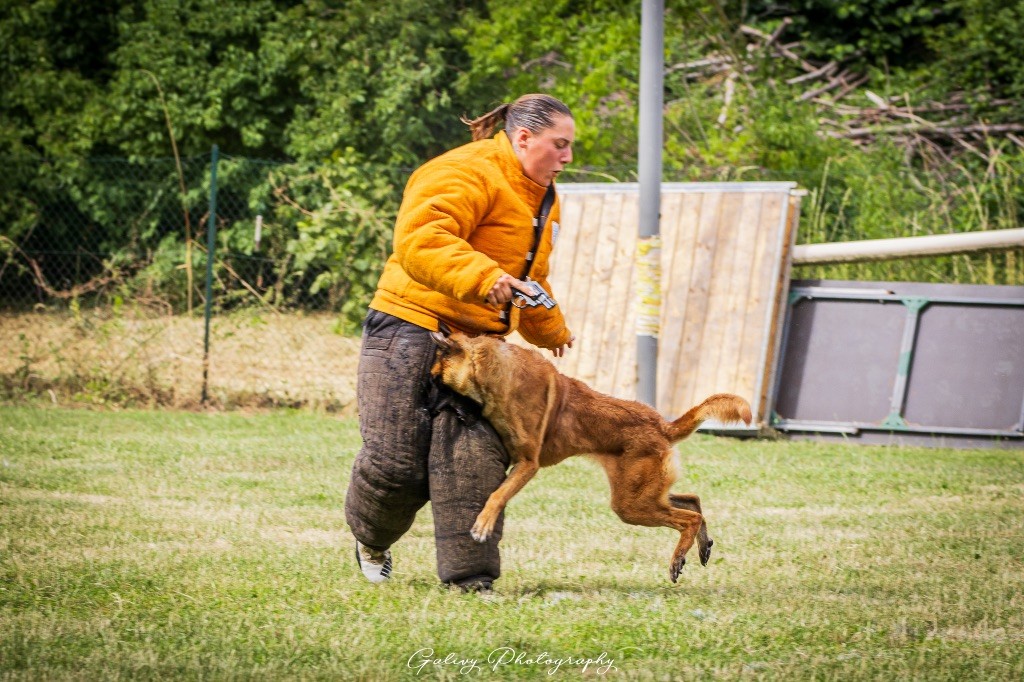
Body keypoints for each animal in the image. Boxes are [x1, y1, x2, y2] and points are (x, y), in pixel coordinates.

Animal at [430, 329, 753, 577]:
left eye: (435, 382)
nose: (426, 409)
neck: (497, 371)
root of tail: (663, 426)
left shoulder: (528, 464)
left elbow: (498, 494)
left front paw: (483, 524)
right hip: (642, 494)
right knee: (693, 501)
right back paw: (701, 545)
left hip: (631, 503)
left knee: (689, 518)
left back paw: (678, 558)